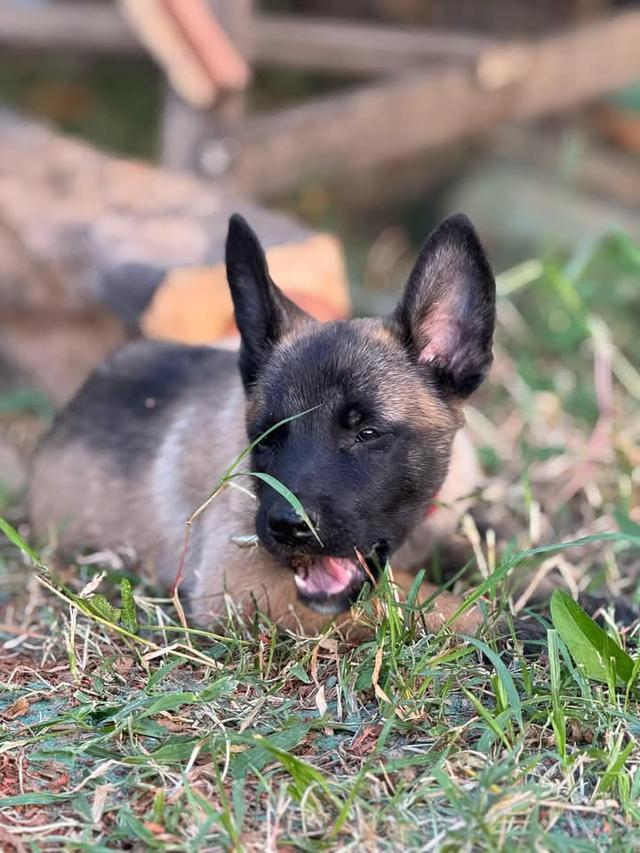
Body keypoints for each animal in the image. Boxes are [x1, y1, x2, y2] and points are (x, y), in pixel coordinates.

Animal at [31, 213, 496, 640]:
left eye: (367, 433)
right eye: (267, 437)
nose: (289, 526)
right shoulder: (242, 583)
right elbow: (430, 603)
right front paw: (499, 619)